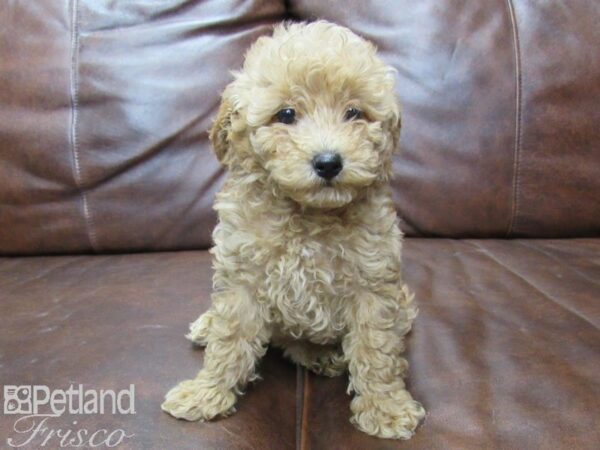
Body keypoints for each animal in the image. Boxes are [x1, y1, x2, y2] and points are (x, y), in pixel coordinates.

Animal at [163, 21, 426, 440]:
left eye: (354, 112)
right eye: (285, 114)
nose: (328, 162)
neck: (307, 215)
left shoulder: (373, 285)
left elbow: (377, 349)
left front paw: (386, 408)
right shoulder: (242, 277)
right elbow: (229, 340)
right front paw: (207, 392)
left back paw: (325, 357)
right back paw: (209, 325)